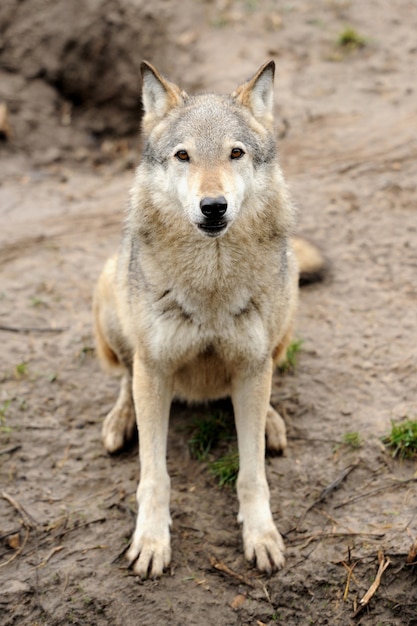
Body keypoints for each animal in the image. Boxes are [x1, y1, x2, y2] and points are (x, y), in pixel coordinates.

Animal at [92, 59, 324, 576]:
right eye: (183, 156)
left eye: (235, 153)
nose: (213, 206)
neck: (212, 284)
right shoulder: (155, 369)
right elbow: (154, 476)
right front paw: (151, 542)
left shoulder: (251, 367)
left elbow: (252, 473)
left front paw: (261, 536)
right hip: (110, 295)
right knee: (124, 376)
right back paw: (120, 421)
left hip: (287, 311)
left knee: (269, 382)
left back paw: (272, 422)